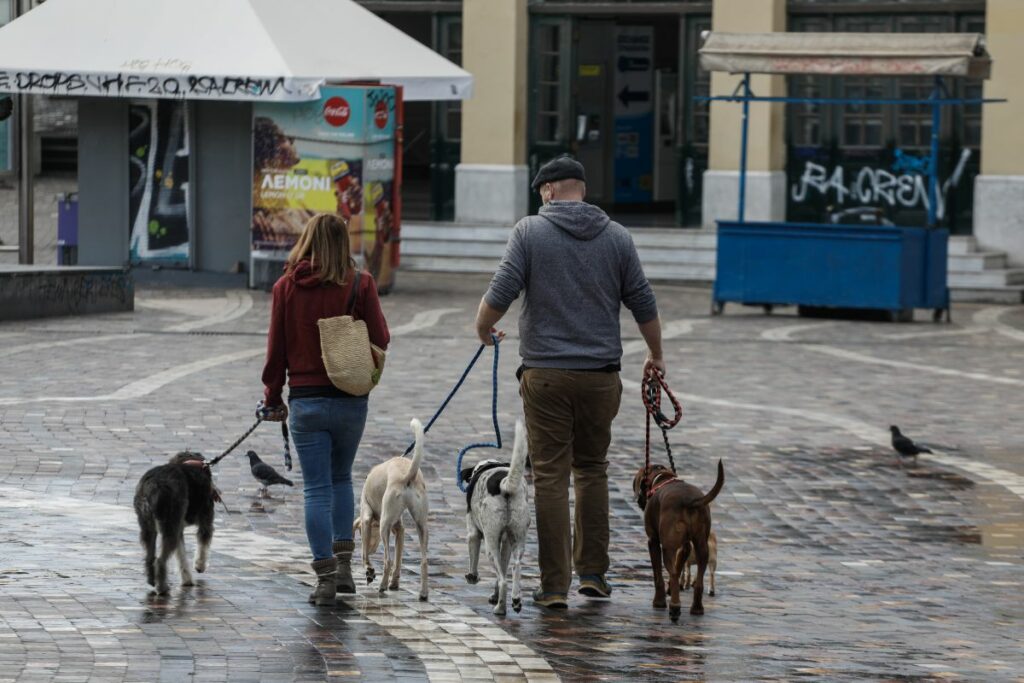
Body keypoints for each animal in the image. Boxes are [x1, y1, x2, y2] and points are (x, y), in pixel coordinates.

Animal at [133, 454, 217, 593]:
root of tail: (153, 486)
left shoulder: (179, 528)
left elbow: (181, 554)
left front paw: (187, 580)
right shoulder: (206, 519)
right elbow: (203, 543)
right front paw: (199, 565)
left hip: (148, 525)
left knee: (150, 557)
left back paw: (152, 580)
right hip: (170, 523)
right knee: (160, 560)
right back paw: (162, 587)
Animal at [356, 419, 428, 602]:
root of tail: (407, 475)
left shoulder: (366, 518)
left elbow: (364, 554)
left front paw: (369, 570)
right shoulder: (400, 529)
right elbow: (398, 559)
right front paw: (394, 583)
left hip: (385, 525)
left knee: (387, 560)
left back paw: (381, 586)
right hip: (421, 524)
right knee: (424, 561)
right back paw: (423, 593)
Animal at [462, 419, 532, 618]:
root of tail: (504, 485)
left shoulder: (473, 533)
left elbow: (473, 558)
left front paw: (472, 577)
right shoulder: (507, 541)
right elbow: (505, 564)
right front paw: (494, 596)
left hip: (490, 544)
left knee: (503, 581)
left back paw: (501, 609)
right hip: (518, 538)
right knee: (515, 567)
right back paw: (515, 600)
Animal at [626, 462, 724, 622]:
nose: (639, 501)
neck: (662, 479)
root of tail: (690, 500)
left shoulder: (653, 541)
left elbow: (658, 575)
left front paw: (659, 601)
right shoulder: (685, 548)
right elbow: (679, 570)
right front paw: (671, 590)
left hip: (668, 548)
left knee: (671, 574)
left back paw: (674, 607)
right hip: (702, 547)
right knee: (698, 581)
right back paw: (697, 608)